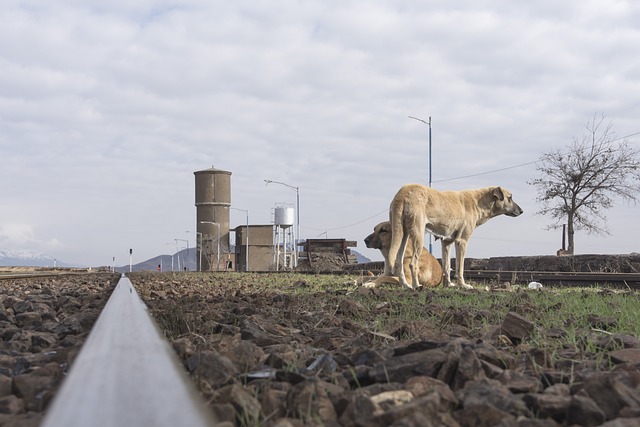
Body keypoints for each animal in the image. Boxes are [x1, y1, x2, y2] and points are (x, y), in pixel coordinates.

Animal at [388, 185, 524, 290]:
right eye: (510, 198)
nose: (522, 211)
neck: (479, 201)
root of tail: (403, 193)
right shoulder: (462, 241)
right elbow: (460, 268)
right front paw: (463, 285)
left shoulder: (447, 242)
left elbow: (447, 266)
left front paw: (448, 285)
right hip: (418, 236)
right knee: (413, 263)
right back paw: (417, 286)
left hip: (402, 235)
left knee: (399, 262)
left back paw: (405, 285)